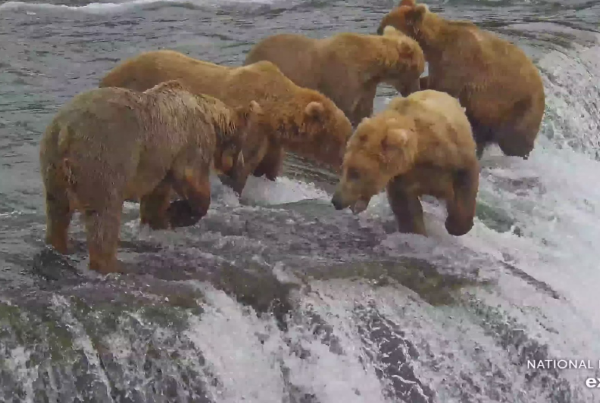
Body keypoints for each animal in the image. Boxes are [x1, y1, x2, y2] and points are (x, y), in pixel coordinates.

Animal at [39, 79, 260, 274]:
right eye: (242, 146)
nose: (240, 169)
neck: (210, 117)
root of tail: (66, 131)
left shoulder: (160, 162)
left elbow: (155, 198)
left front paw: (161, 220)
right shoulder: (190, 142)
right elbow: (194, 181)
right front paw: (177, 213)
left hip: (53, 164)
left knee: (57, 213)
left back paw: (60, 246)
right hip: (103, 158)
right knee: (104, 217)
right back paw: (112, 266)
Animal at [241, 26, 424, 126]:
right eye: (418, 70)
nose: (417, 89)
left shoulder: (366, 87)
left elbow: (363, 110)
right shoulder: (342, 78)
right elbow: (344, 109)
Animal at [378, 0, 548, 160]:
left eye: (383, 29)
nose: (377, 35)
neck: (435, 45)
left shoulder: (459, 60)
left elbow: (441, 87)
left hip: (517, 107)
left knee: (514, 142)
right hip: (488, 111)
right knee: (479, 129)